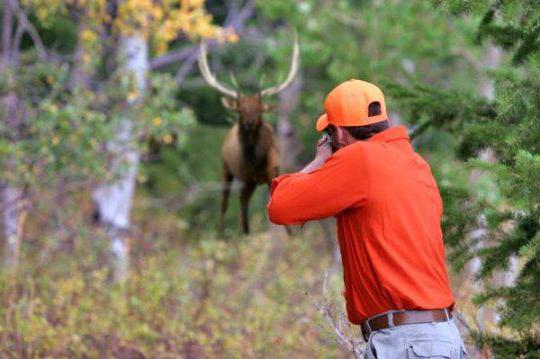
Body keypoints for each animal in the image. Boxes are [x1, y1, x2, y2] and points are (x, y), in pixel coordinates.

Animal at [198, 36, 300, 235]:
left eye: (259, 109)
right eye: (240, 110)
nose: (249, 123)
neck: (256, 162)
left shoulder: (273, 171)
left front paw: (291, 235)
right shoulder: (244, 177)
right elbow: (242, 209)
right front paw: (243, 232)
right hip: (227, 169)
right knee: (227, 202)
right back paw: (224, 233)